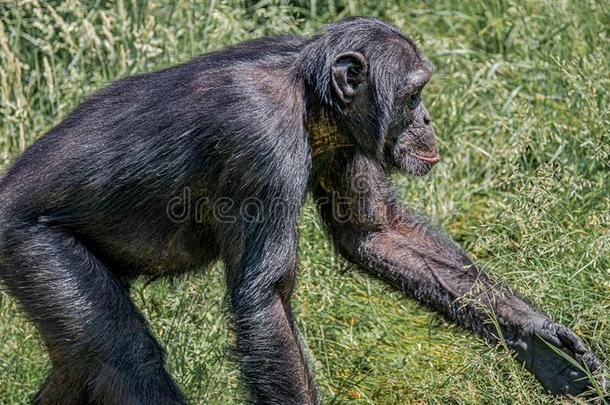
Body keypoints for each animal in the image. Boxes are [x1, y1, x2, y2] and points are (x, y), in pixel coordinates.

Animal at [0, 17, 604, 402]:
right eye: (414, 95)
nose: (429, 119)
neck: (309, 95)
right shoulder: (259, 141)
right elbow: (266, 298)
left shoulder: (347, 140)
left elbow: (375, 230)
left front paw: (539, 339)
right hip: (32, 246)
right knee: (124, 360)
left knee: (80, 367)